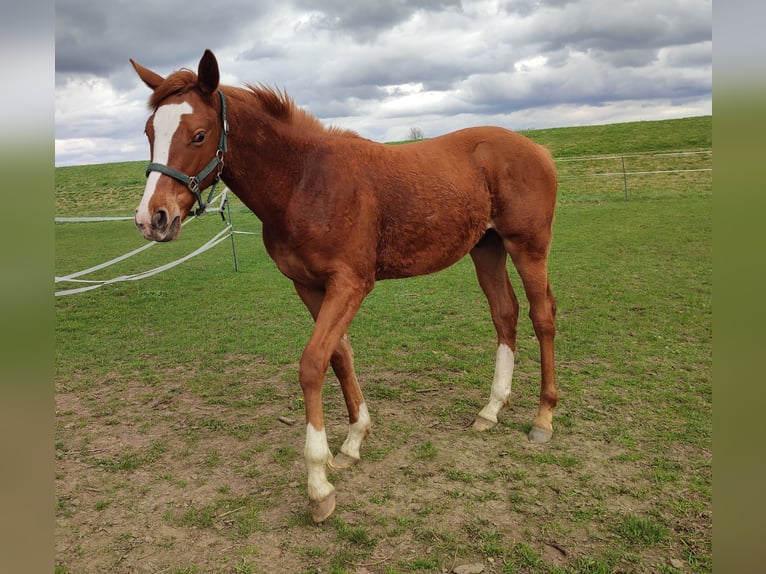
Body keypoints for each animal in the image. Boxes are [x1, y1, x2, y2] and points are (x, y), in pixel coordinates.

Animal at [132, 50, 560, 528]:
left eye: (199, 135)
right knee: (505, 313)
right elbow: (339, 356)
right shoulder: (308, 286)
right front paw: (354, 440)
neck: (304, 182)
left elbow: (312, 364)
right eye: (149, 132)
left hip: (527, 248)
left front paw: (319, 484)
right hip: (486, 249)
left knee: (542, 315)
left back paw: (543, 417)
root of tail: (537, 149)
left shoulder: (351, 284)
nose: (152, 219)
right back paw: (492, 409)